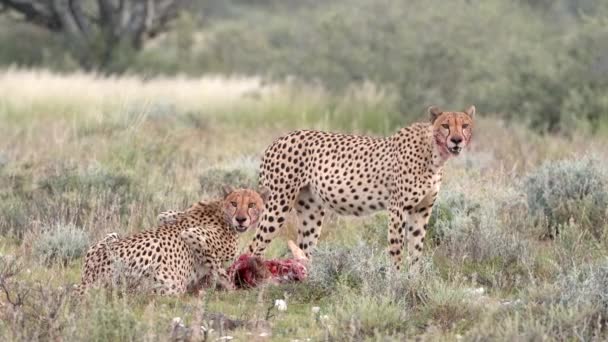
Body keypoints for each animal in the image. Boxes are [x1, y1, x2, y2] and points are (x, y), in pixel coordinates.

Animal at [77, 187, 268, 294]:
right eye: (234, 203)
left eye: (251, 205)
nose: (241, 219)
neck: (221, 211)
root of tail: (90, 275)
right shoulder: (192, 234)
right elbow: (218, 268)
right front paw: (229, 288)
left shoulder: (167, 216)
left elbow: (167, 215)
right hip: (170, 284)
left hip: (111, 236)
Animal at [247, 105, 476, 268]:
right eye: (445, 125)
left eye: (465, 125)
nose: (457, 140)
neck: (435, 154)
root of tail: (278, 139)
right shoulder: (397, 208)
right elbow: (396, 249)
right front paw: (397, 281)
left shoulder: (421, 210)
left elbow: (416, 249)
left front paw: (414, 280)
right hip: (278, 204)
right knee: (253, 246)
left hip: (311, 210)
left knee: (303, 249)